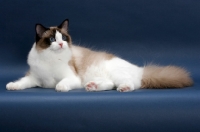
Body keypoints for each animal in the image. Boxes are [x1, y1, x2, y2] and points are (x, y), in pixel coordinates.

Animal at [6, 19, 194, 92]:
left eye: (64, 38)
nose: (60, 44)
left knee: (131, 84)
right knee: (110, 84)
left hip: (118, 74)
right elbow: (22, 82)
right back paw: (92, 86)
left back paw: (121, 88)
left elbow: (62, 83)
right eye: (52, 39)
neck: (50, 60)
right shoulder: (34, 78)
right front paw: (12, 86)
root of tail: (140, 69)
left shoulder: (72, 77)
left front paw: (59, 87)